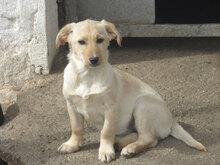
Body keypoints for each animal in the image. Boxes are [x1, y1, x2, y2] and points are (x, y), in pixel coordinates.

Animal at [55, 19, 206, 162]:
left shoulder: (110, 108)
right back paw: (119, 143)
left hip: (142, 106)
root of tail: (171, 119)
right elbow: (76, 128)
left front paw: (105, 151)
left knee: (150, 139)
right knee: (136, 134)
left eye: (100, 40)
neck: (88, 76)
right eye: (81, 42)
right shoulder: (71, 105)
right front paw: (72, 145)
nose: (94, 59)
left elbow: (106, 131)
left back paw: (130, 149)